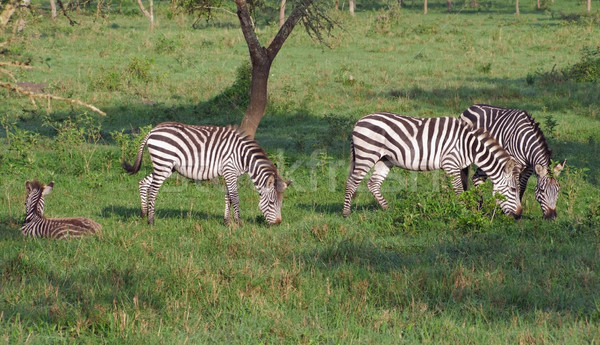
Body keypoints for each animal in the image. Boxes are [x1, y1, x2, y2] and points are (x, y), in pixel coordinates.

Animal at [122, 122, 290, 224]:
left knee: (143, 183)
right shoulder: (229, 171)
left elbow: (228, 197)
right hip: (163, 163)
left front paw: (227, 222)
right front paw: (239, 223)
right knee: (153, 190)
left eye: (281, 203)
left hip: (165, 166)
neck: (243, 157)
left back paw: (143, 213)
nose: (278, 223)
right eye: (272, 203)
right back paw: (151, 221)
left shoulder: (229, 173)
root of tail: (152, 130)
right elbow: (235, 197)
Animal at [344, 112, 524, 218]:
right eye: (513, 189)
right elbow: (459, 190)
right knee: (352, 182)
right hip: (367, 154)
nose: (519, 215)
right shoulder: (450, 163)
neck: (469, 146)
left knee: (373, 183)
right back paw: (346, 213)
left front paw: (469, 208)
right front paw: (464, 212)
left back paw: (388, 210)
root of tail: (359, 121)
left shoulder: (460, 166)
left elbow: (463, 188)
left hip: (385, 158)